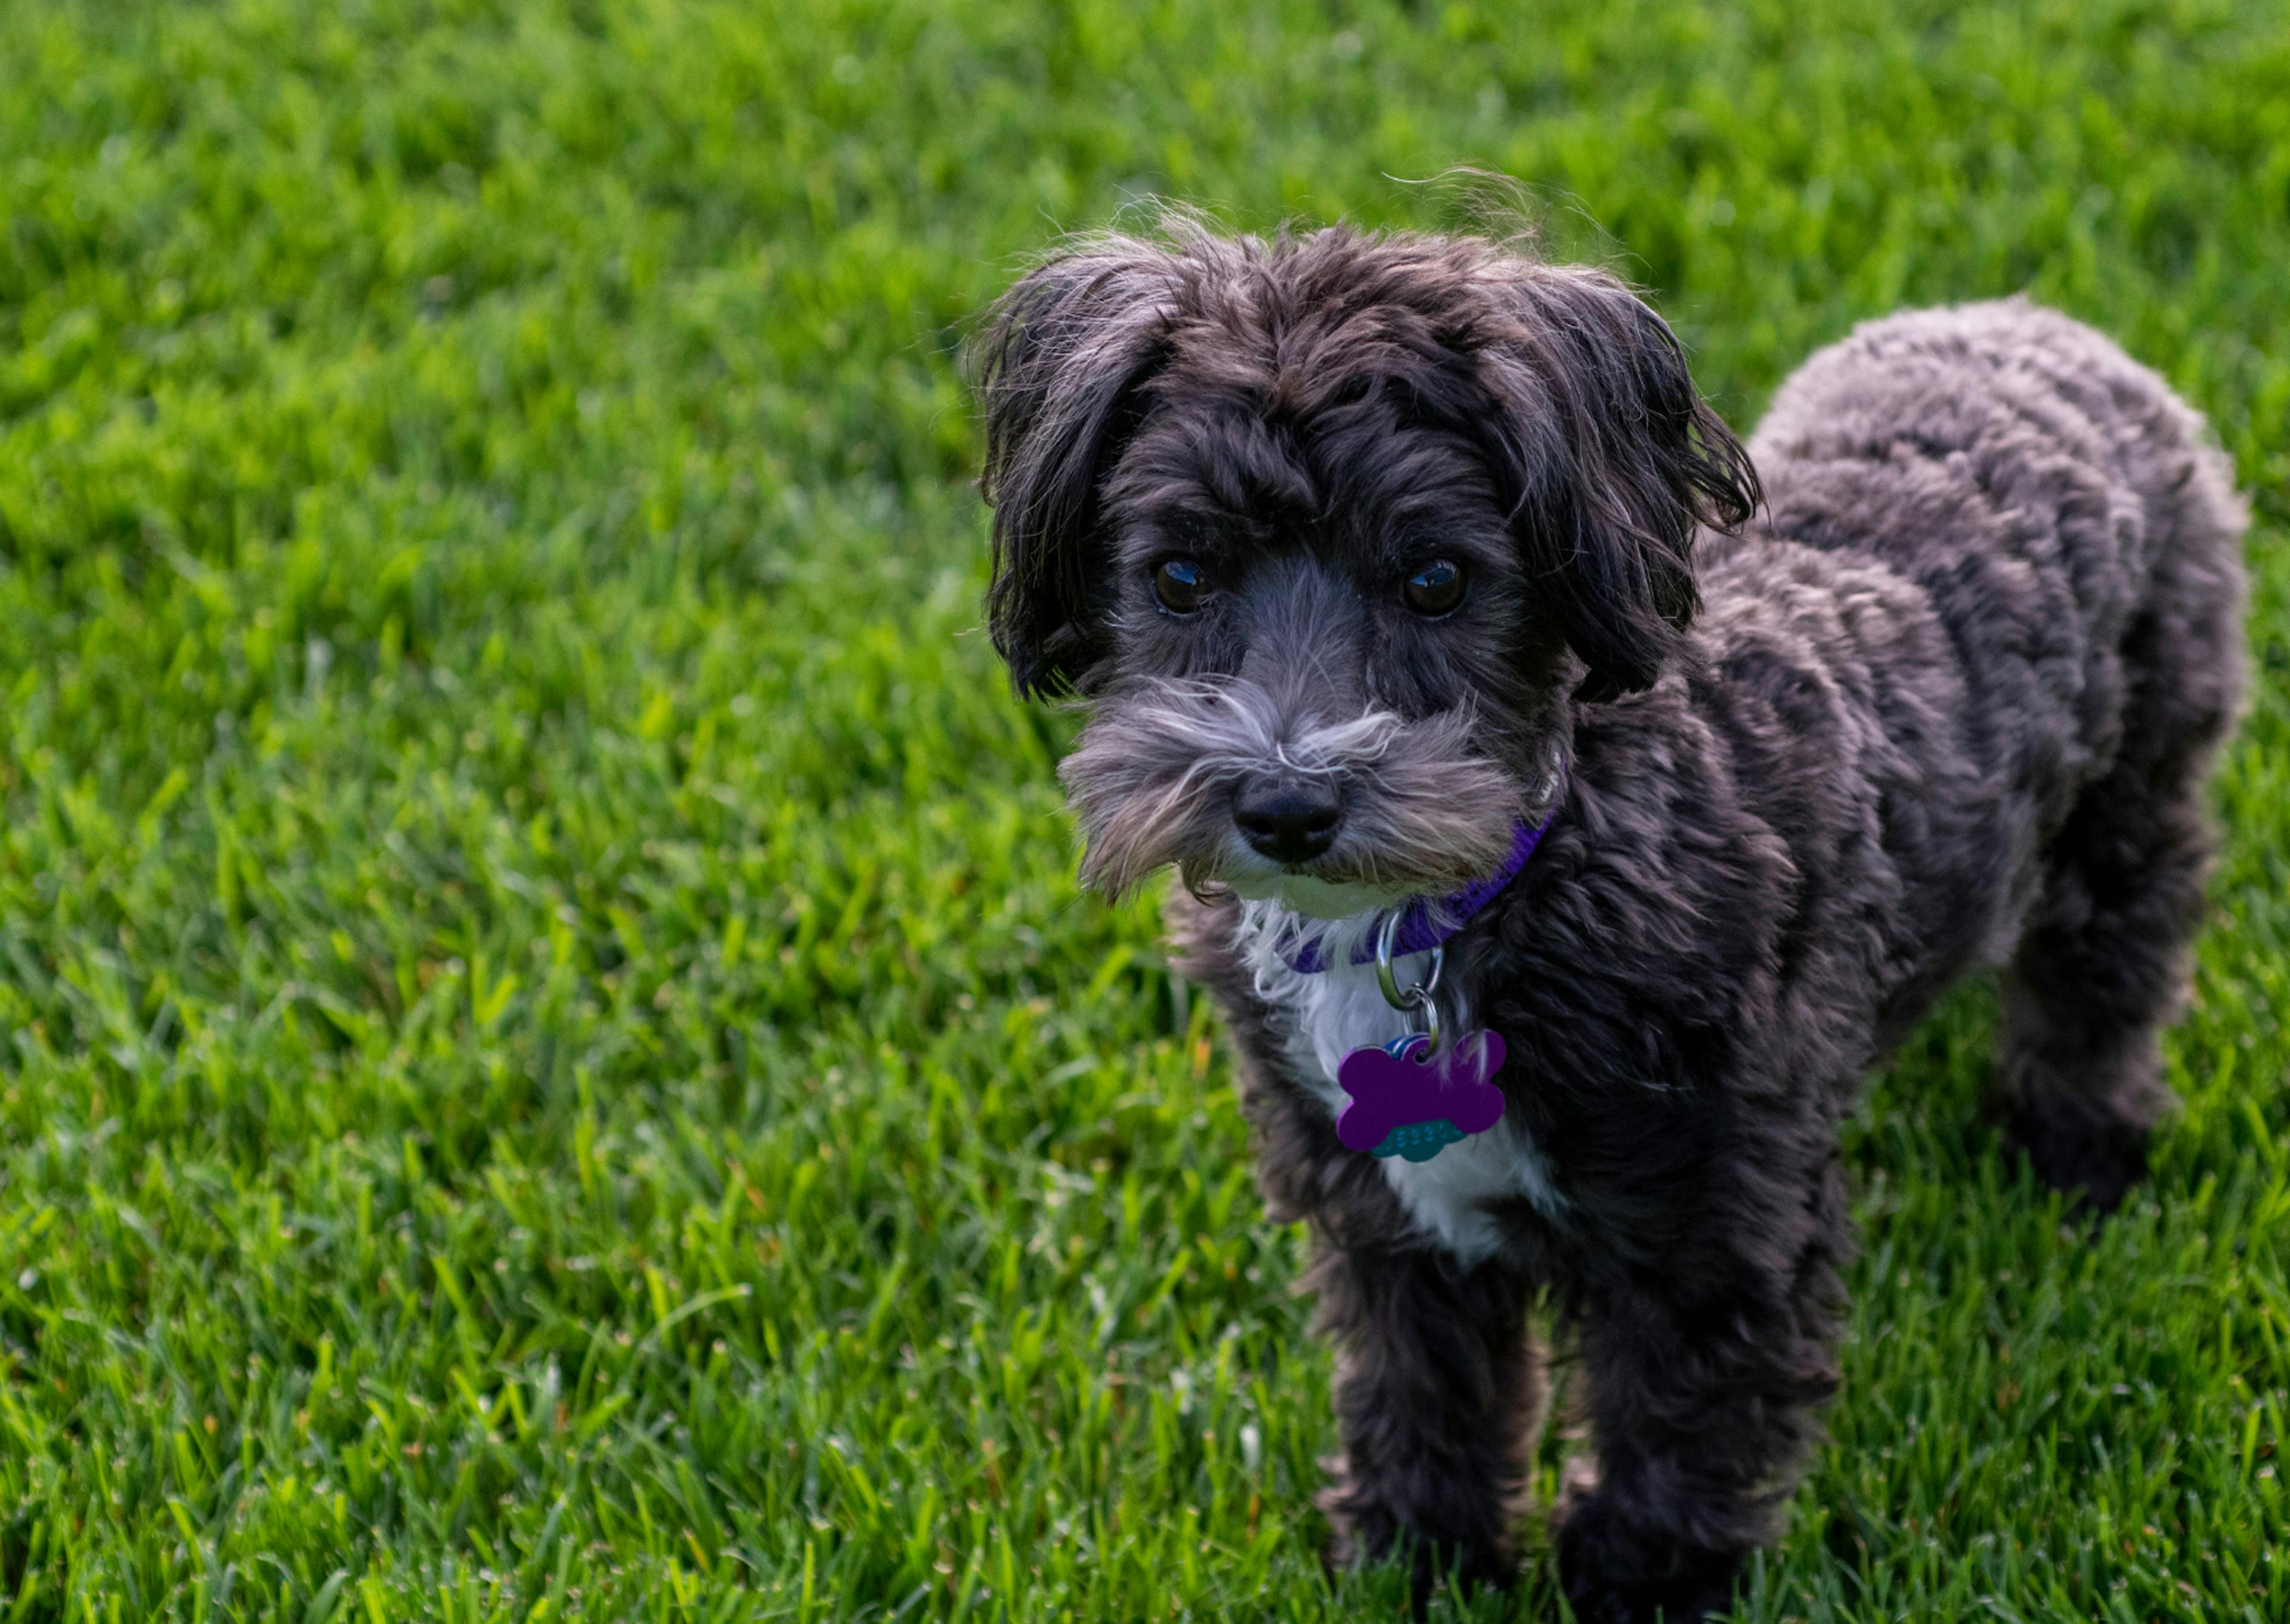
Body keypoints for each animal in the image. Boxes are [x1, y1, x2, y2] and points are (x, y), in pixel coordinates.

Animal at [957, 218, 2244, 1622]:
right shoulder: (1387, 1222)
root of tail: (2033, 323)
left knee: (2106, 968)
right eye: (1180, 575)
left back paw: (2077, 1148)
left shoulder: (1712, 1218)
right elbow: (1420, 1396)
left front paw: (1640, 1580)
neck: (1466, 897)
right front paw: (1417, 1559)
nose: (1288, 803)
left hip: (2139, 781)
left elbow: (1679, 1420)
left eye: (1439, 579)